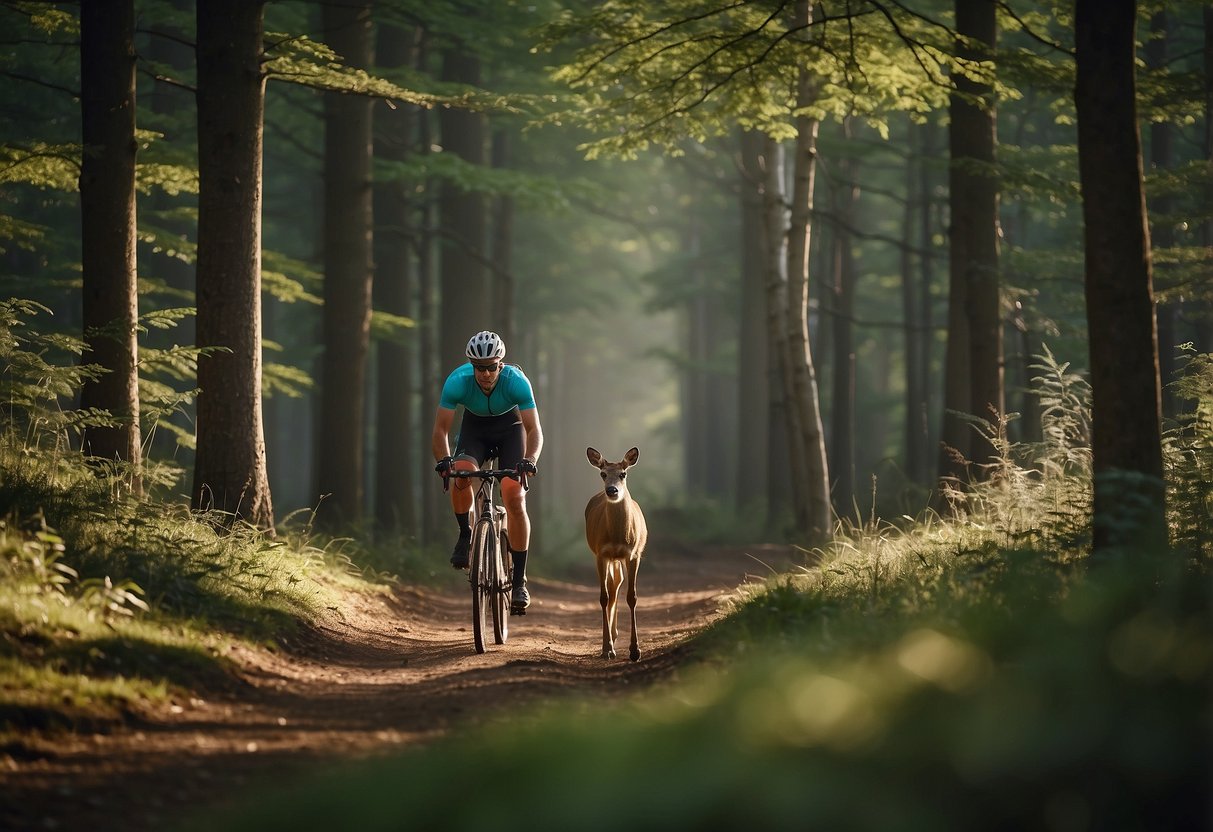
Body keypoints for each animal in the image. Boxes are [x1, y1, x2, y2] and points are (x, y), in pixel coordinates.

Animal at [584, 446, 650, 659]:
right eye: (603, 474)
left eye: (623, 474)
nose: (611, 490)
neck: (618, 536)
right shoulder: (601, 553)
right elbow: (603, 597)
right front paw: (607, 648)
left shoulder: (633, 554)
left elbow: (632, 597)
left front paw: (635, 650)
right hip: (609, 557)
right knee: (612, 588)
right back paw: (611, 639)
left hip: (619, 558)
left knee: (617, 584)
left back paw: (615, 634)